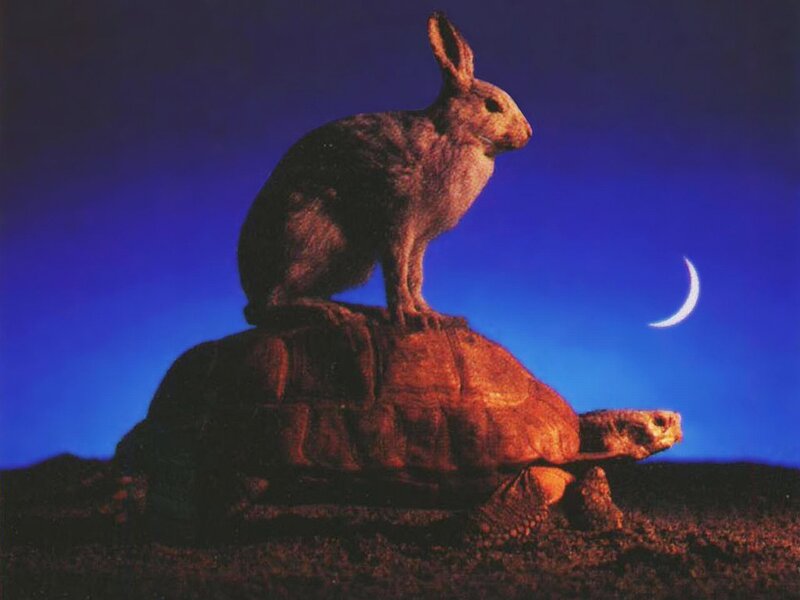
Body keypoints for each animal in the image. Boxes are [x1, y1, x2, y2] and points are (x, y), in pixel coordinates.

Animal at [238, 11, 532, 329]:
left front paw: (432, 315)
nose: (528, 133)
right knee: (269, 304)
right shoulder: (397, 222)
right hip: (309, 240)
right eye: (492, 106)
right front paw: (410, 316)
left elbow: (414, 275)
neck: (450, 133)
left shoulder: (419, 239)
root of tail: (250, 281)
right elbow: (396, 272)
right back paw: (330, 312)